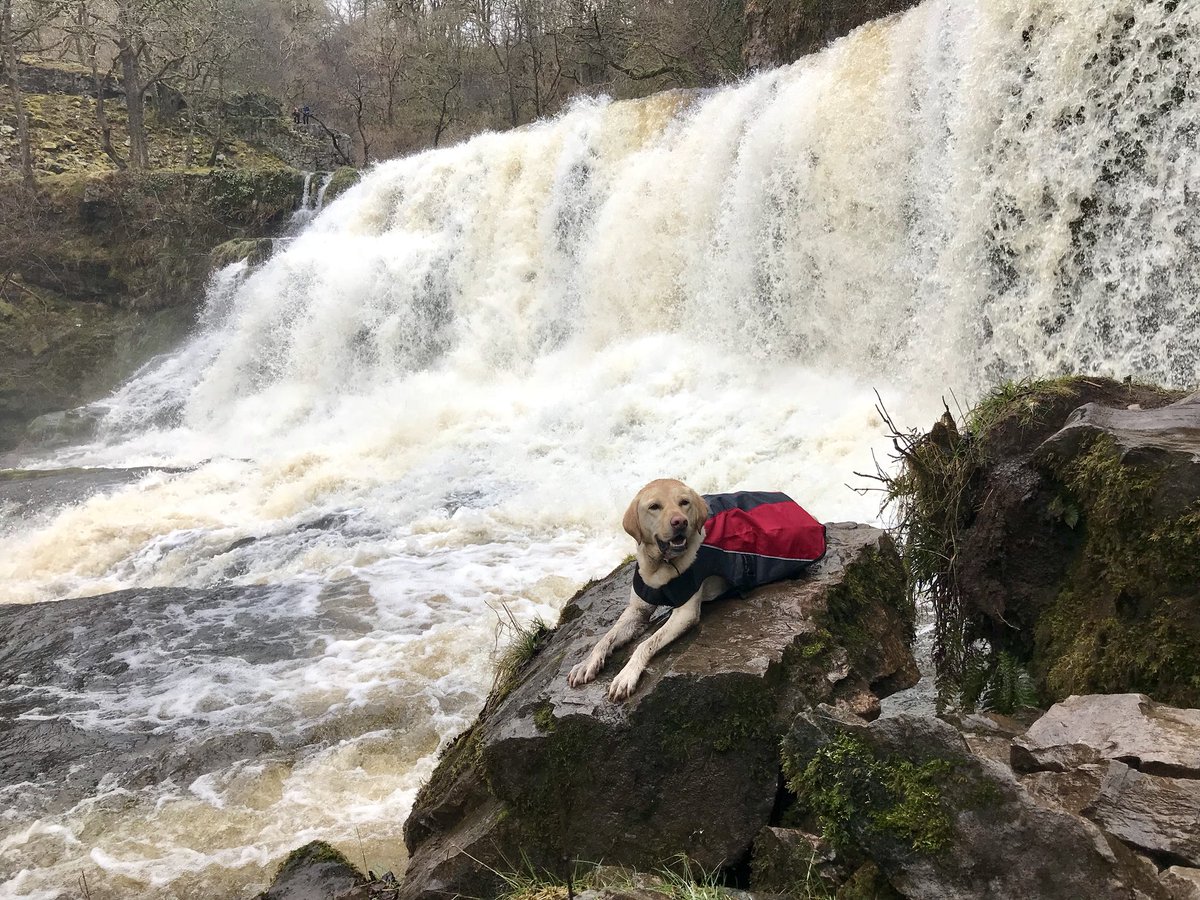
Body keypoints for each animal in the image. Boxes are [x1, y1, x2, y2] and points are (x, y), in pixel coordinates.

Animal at [568, 480, 830, 705]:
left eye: (684, 502)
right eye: (654, 506)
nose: (679, 522)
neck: (660, 564)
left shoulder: (684, 613)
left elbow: (645, 644)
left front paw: (626, 676)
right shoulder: (637, 610)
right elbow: (606, 638)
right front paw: (587, 663)